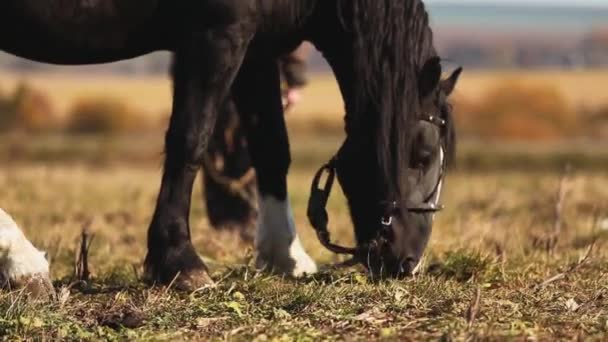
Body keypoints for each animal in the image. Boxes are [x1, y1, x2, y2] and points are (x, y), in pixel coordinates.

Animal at [0, 0, 460, 290]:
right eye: (422, 155)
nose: (409, 262)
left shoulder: (257, 47)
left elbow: (273, 148)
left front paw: (286, 256)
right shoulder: (218, 36)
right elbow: (191, 139)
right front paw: (179, 261)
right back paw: (22, 262)